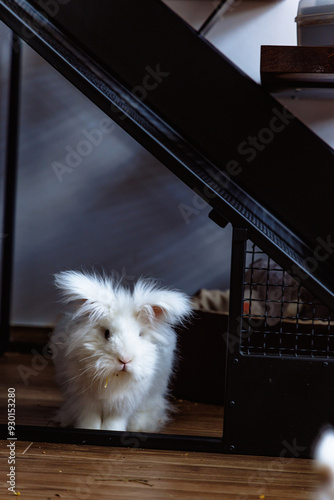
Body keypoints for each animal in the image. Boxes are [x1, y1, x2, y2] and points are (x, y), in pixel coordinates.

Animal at [49, 272, 190, 432]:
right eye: (106, 333)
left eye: (140, 335)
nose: (125, 359)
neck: (115, 377)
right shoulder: (84, 399)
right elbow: (89, 417)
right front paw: (88, 429)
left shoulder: (124, 403)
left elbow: (115, 420)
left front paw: (112, 431)